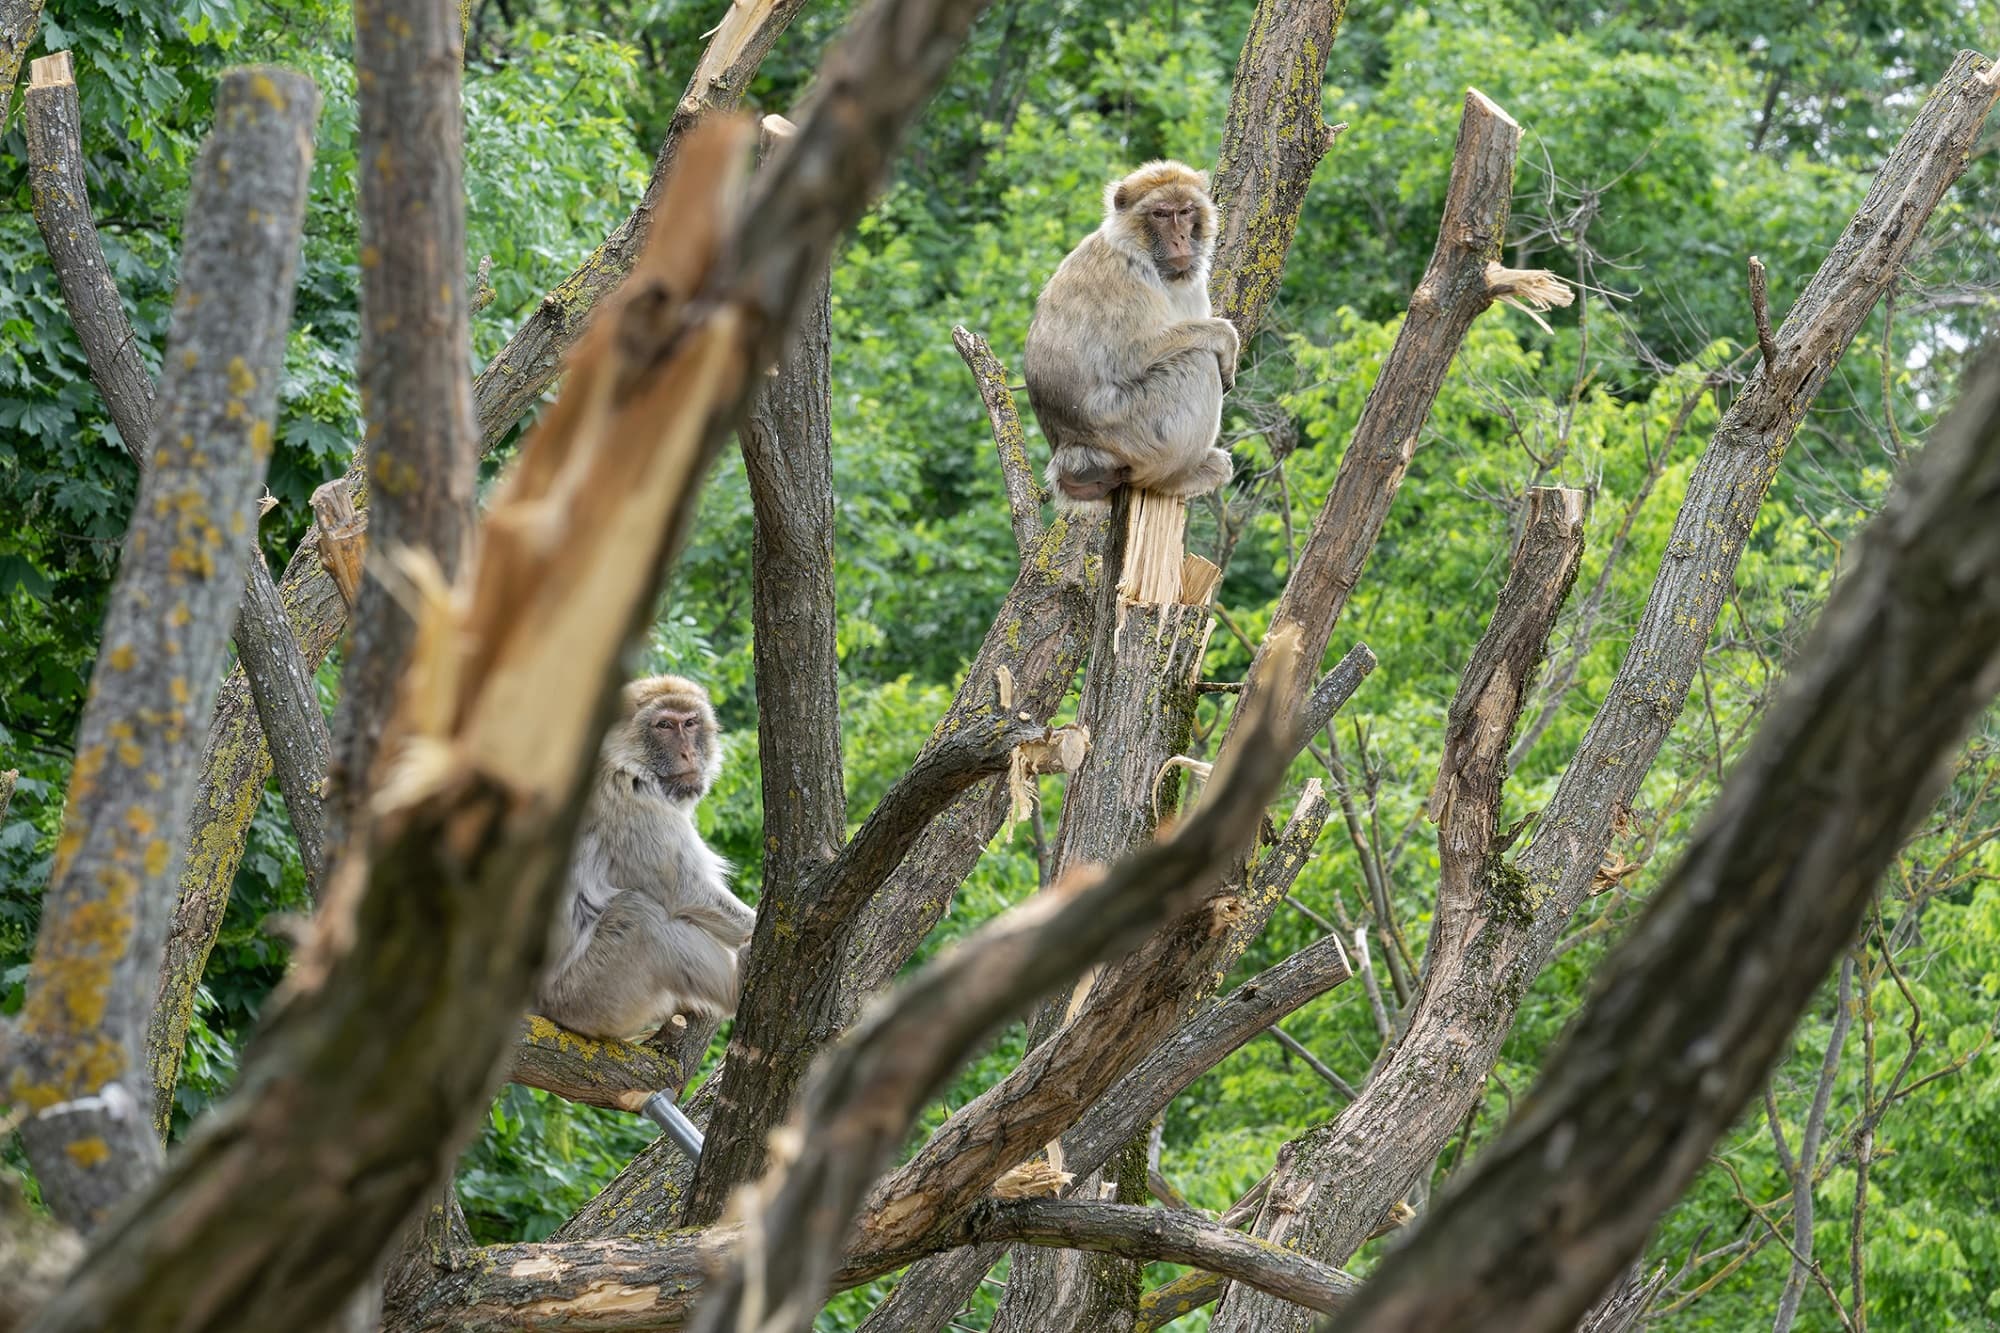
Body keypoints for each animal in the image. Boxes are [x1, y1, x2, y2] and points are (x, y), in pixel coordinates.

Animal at [535, 675, 755, 1042]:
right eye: (664, 725)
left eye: (690, 723)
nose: (687, 752)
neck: (627, 762)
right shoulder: (632, 801)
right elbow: (686, 893)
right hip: (589, 996)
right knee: (637, 915)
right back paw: (735, 990)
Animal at [1023, 160, 1239, 505]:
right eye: (1160, 214)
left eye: (1186, 211)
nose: (1180, 238)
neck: (1140, 251)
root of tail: (1071, 447)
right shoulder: (1129, 278)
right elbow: (1128, 356)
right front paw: (1225, 338)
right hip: (1131, 428)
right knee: (1196, 361)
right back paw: (1179, 478)